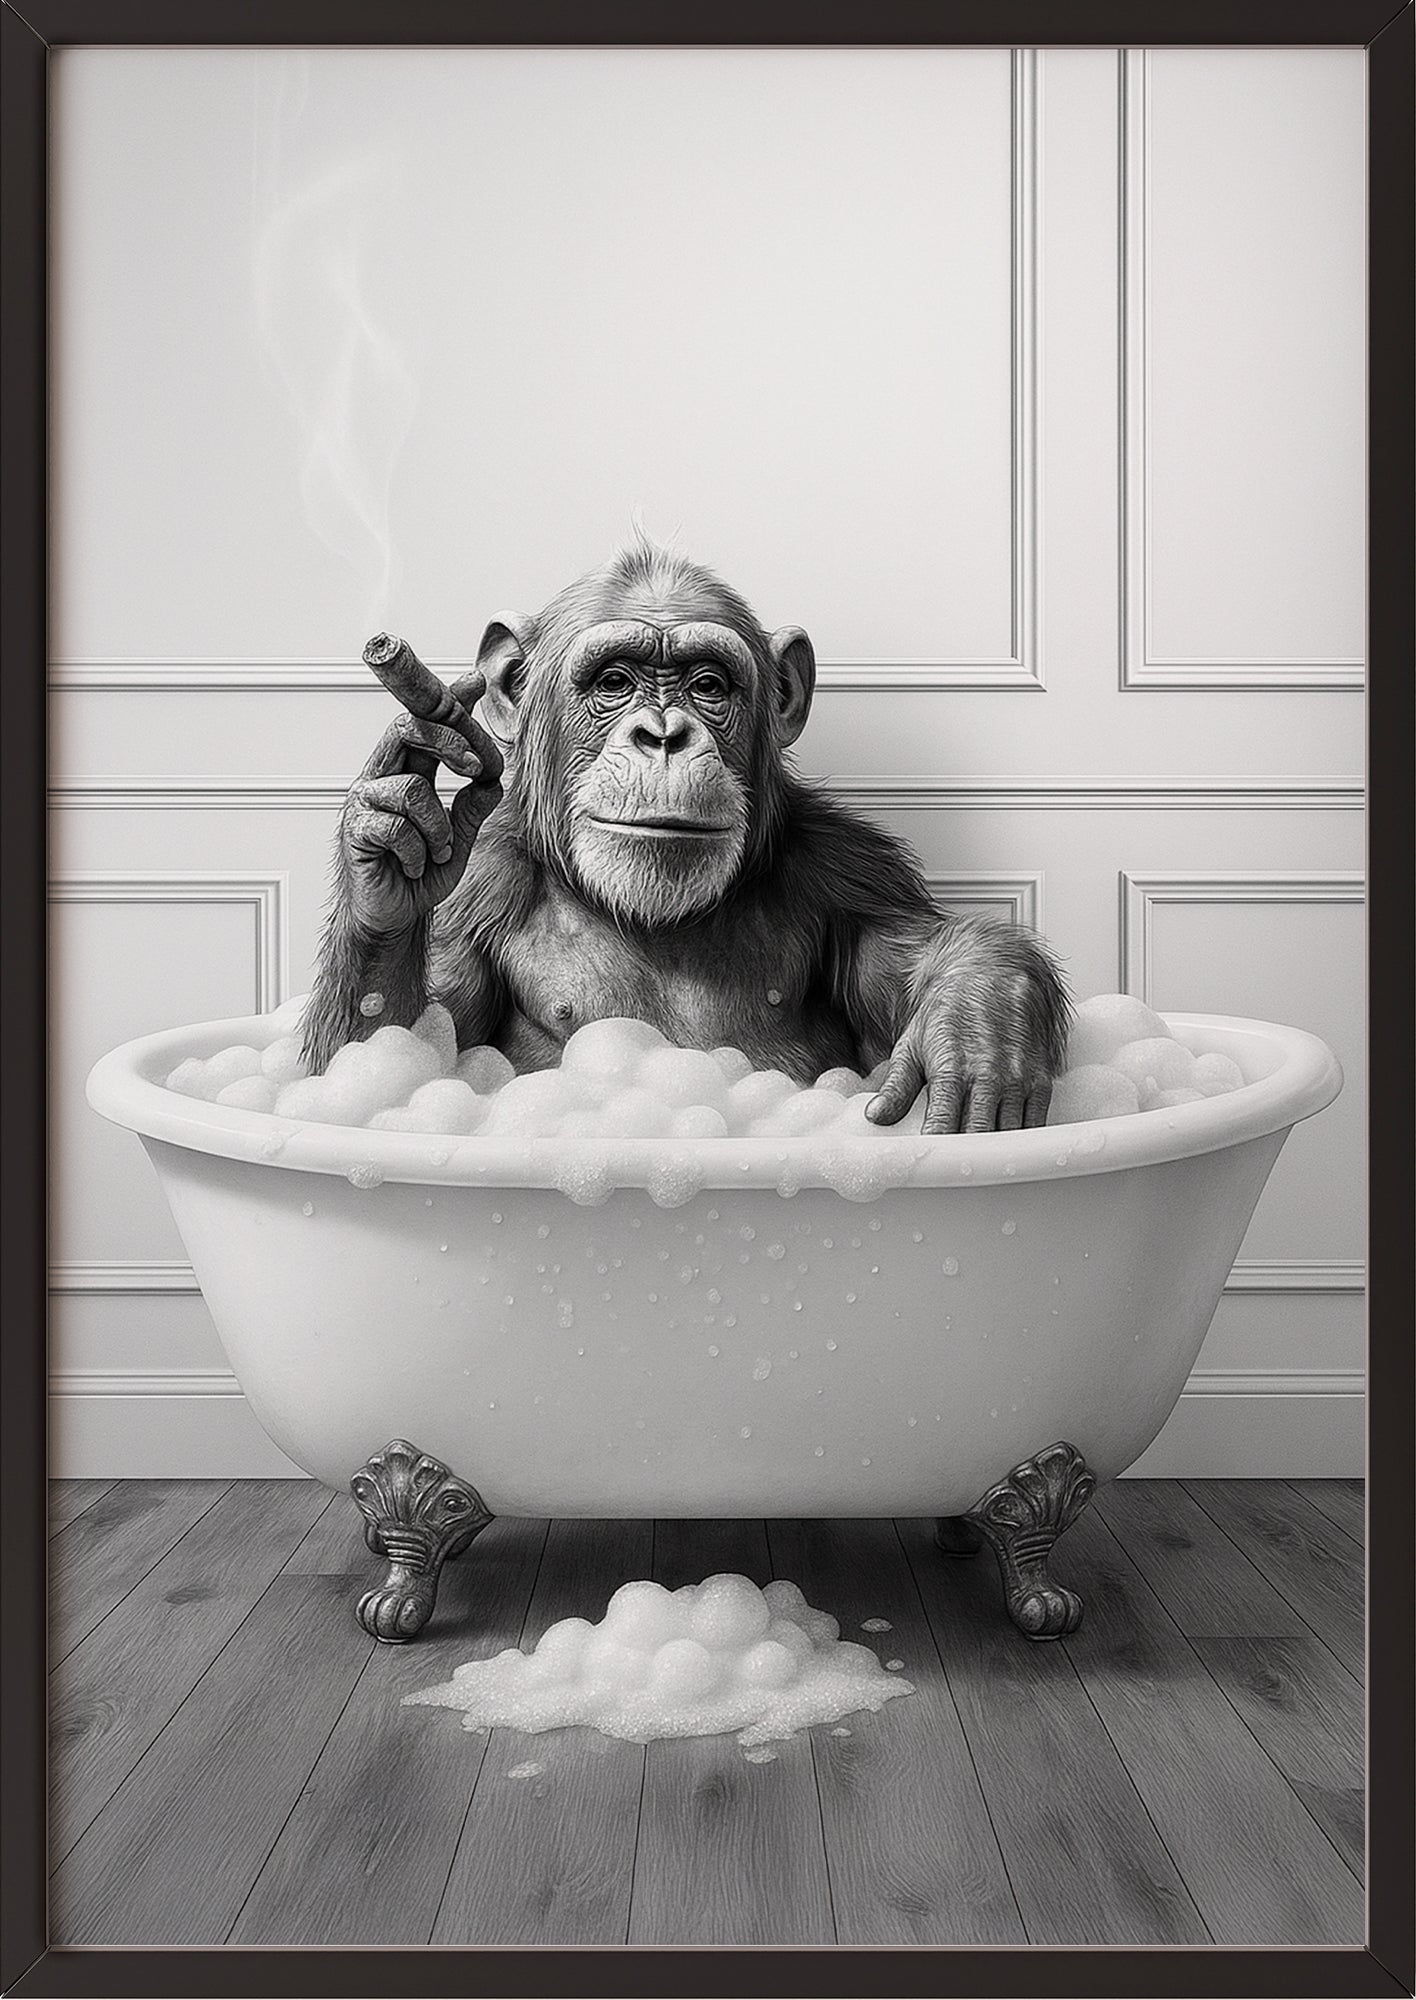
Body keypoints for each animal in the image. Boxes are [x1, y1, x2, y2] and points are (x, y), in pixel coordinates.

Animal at [304, 541, 1070, 1134]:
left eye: (708, 685)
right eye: (615, 681)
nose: (665, 735)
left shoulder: (852, 872)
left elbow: (918, 952)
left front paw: (977, 1027)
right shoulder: (478, 893)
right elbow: (389, 1055)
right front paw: (390, 845)